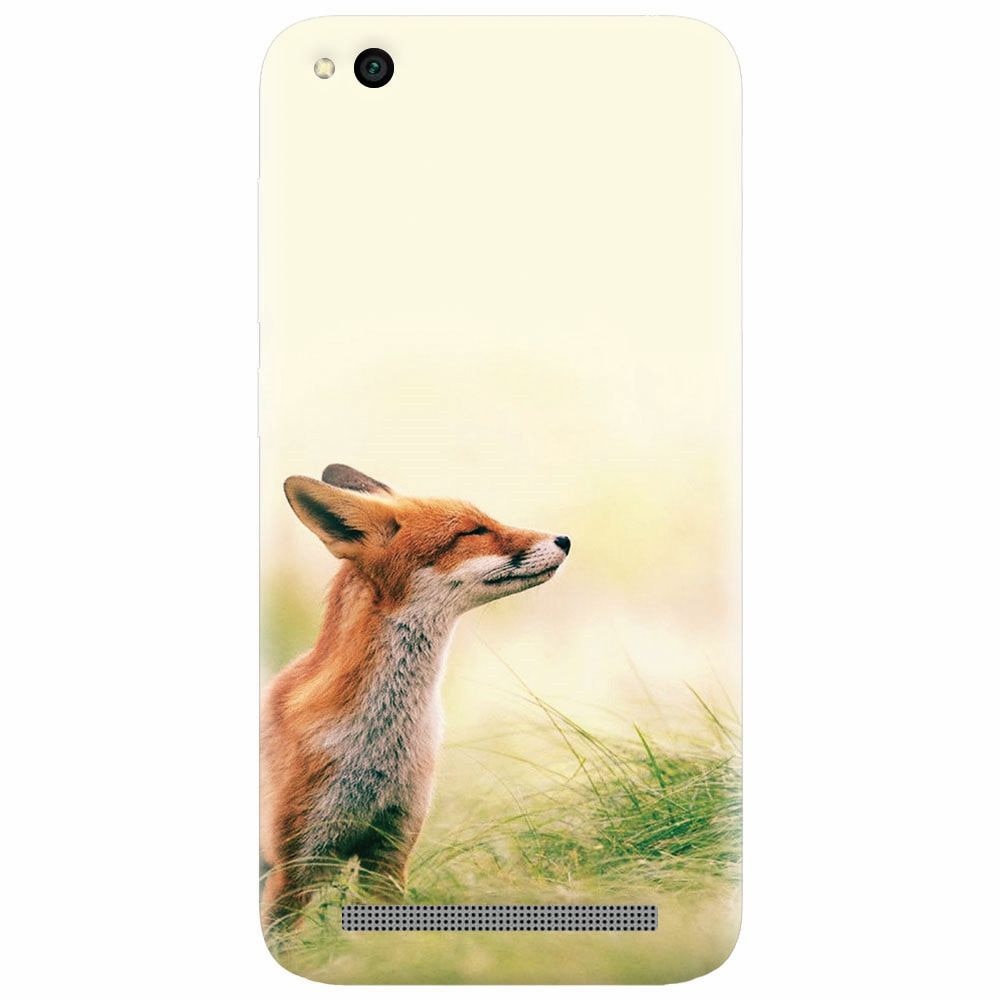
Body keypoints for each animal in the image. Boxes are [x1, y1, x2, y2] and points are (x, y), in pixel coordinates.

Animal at [260, 463, 570, 928]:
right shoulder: (294, 868)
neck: (380, 746)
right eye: (473, 531)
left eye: (487, 520)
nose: (565, 540)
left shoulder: (391, 850)